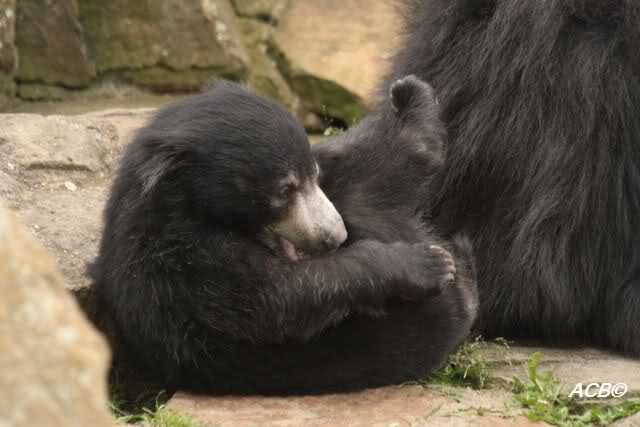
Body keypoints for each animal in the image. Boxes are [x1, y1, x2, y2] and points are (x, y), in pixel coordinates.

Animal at [90, 80, 477, 395]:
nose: (335, 236)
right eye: (284, 190)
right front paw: (427, 264)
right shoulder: (183, 263)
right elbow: (280, 296)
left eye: (312, 177)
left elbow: (348, 158)